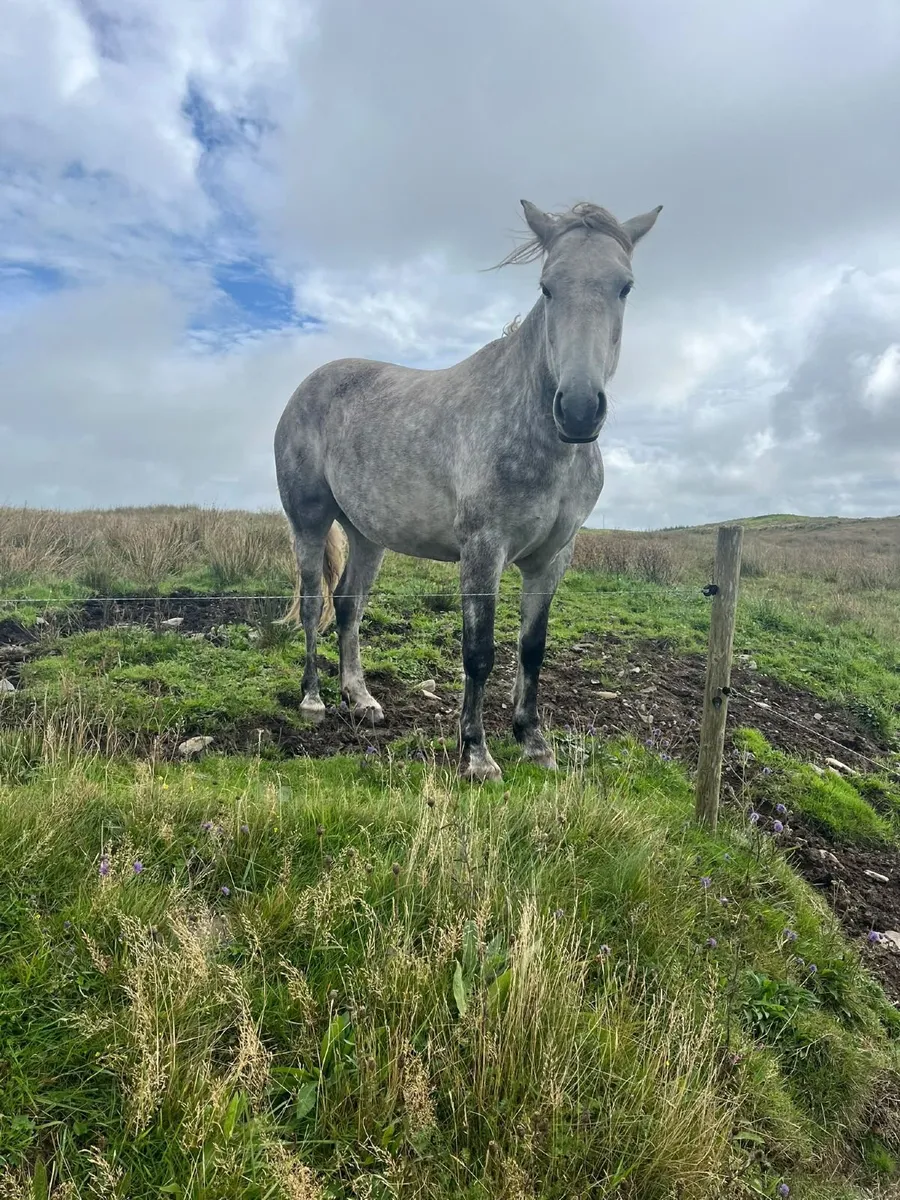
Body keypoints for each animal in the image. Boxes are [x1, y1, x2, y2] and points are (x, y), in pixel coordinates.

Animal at [274, 198, 662, 781]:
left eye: (625, 287)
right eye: (547, 286)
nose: (578, 409)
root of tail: (307, 386)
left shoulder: (552, 558)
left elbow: (532, 649)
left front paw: (533, 742)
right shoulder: (483, 551)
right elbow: (478, 652)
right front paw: (476, 755)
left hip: (368, 535)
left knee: (348, 606)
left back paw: (360, 699)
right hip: (310, 522)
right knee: (313, 600)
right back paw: (314, 700)